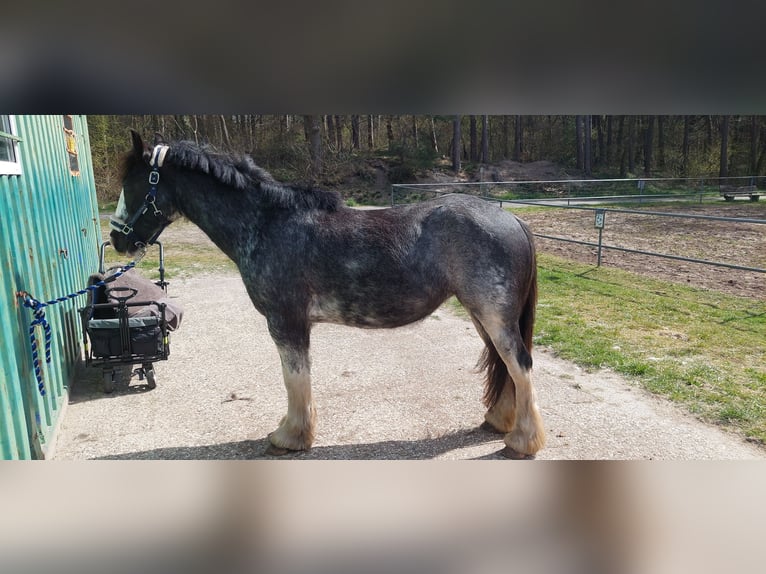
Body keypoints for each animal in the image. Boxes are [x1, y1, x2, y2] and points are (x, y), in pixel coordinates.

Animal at [110, 130, 545, 459]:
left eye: (133, 186)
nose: (117, 240)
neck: (266, 224)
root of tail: (511, 218)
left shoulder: (286, 321)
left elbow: (294, 377)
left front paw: (290, 437)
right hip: (483, 316)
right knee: (507, 366)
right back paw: (500, 423)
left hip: (493, 316)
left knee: (520, 365)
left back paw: (523, 442)